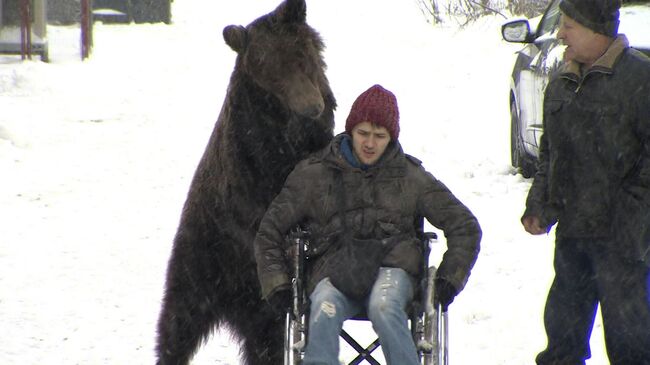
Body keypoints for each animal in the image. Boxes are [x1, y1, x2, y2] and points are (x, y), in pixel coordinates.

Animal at [154, 0, 332, 364]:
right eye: (268, 71)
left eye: (301, 54)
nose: (310, 107)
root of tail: (230, 305)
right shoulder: (252, 158)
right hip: (201, 261)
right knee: (177, 325)